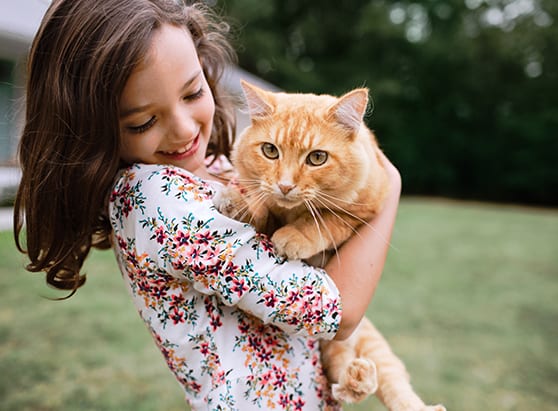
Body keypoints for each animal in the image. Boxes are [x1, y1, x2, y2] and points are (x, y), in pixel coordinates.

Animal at [219, 79, 446, 410]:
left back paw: (368, 381)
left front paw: (295, 236)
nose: (285, 186)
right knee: (341, 375)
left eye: (317, 158)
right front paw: (236, 203)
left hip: (369, 344)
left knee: (392, 387)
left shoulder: (364, 210)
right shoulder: (268, 205)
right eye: (270, 151)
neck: (292, 211)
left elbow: (324, 220)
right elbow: (259, 208)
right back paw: (354, 378)